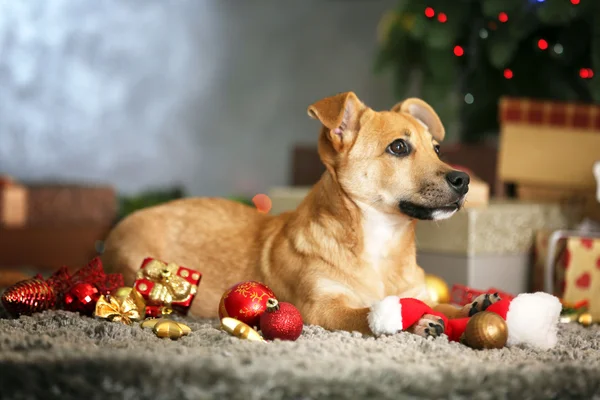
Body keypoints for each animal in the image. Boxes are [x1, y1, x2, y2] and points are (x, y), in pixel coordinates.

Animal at [102, 93, 496, 338]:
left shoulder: (415, 290)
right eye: (398, 147)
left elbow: (439, 302)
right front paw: (413, 322)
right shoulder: (322, 308)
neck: (381, 243)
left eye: (437, 149)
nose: (463, 180)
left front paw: (471, 305)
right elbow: (367, 314)